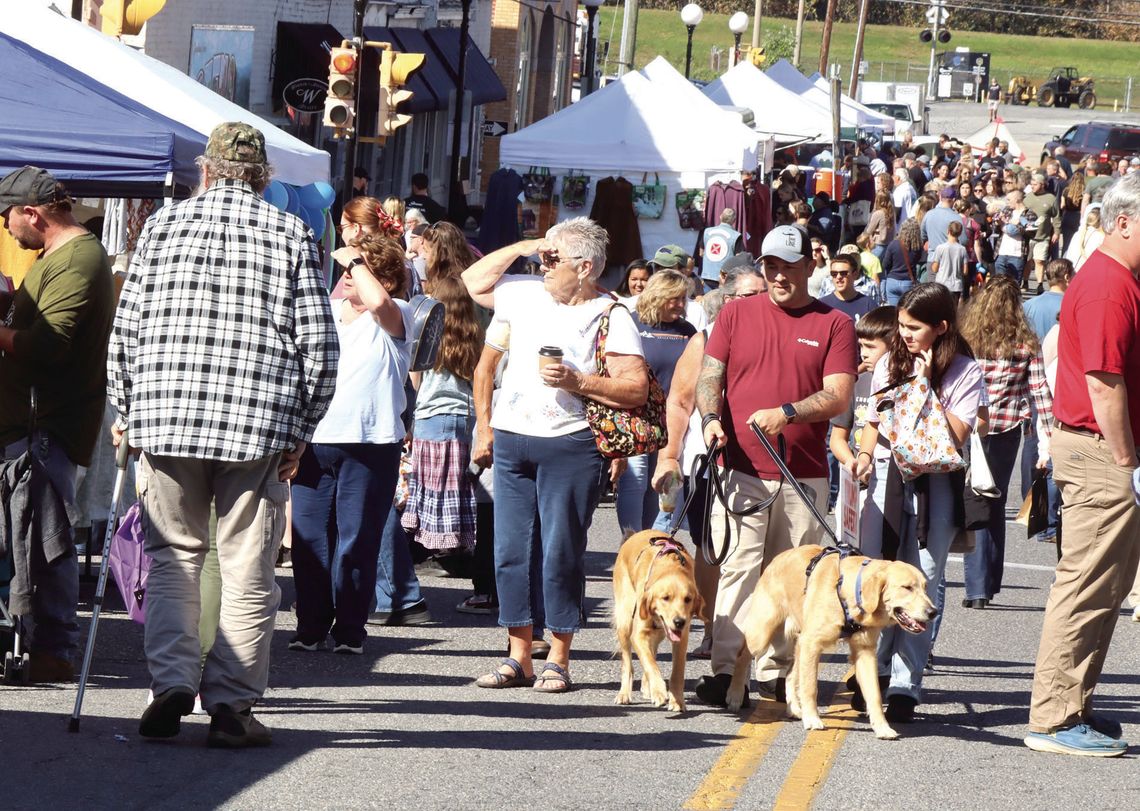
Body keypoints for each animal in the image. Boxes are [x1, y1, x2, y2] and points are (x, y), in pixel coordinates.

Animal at [615, 533, 702, 711]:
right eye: (665, 598)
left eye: (688, 599)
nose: (679, 622)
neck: (669, 567)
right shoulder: (638, 634)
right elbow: (650, 663)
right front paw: (659, 691)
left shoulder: (682, 638)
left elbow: (677, 672)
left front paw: (677, 700)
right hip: (625, 622)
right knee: (628, 663)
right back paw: (624, 693)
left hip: (657, 632)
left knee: (652, 650)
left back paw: (646, 687)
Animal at [729, 542, 934, 739]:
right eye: (907, 587)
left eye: (925, 588)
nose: (934, 612)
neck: (846, 591)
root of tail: (777, 557)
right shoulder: (812, 644)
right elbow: (810, 687)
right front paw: (812, 719)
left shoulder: (865, 651)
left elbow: (874, 694)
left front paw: (882, 728)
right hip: (762, 632)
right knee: (742, 657)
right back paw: (735, 696)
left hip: (797, 642)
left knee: (790, 673)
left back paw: (793, 707)